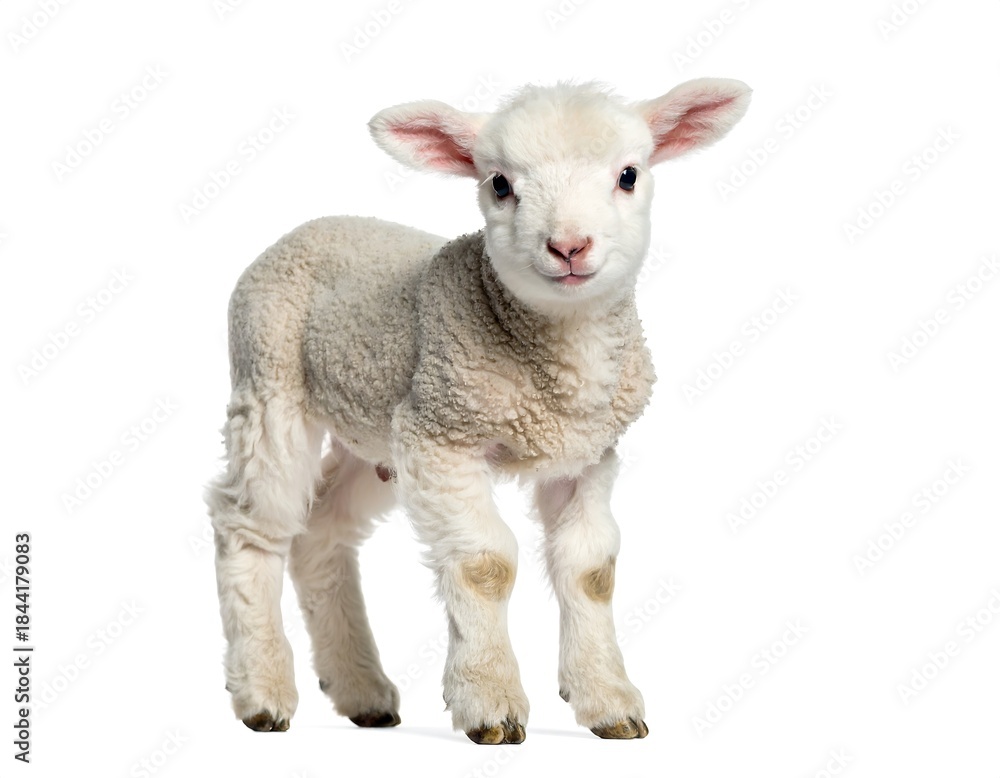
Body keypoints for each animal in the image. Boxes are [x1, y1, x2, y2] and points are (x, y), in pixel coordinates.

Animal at [205, 77, 751, 744]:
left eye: (628, 175)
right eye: (499, 183)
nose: (568, 246)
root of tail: (313, 225)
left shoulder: (587, 456)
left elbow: (591, 570)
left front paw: (608, 701)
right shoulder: (444, 439)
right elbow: (484, 565)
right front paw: (489, 702)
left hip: (379, 429)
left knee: (322, 533)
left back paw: (362, 690)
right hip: (271, 383)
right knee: (249, 527)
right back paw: (262, 691)